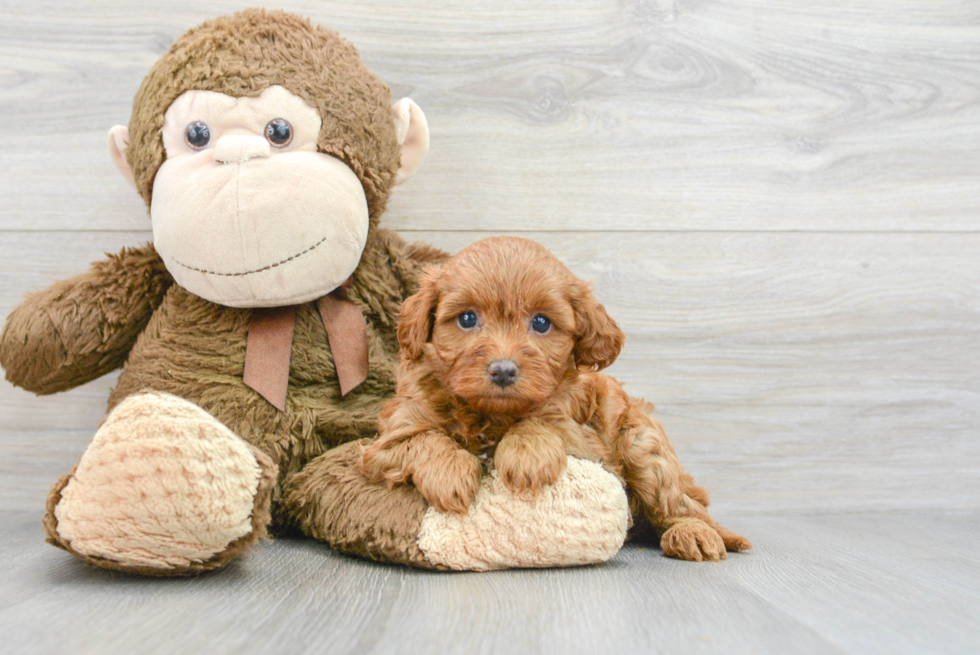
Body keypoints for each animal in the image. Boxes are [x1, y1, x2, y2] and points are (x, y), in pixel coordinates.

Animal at [360, 238, 752, 560]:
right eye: (467, 318)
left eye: (541, 323)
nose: (503, 370)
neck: (490, 414)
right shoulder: (388, 438)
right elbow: (424, 438)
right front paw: (450, 474)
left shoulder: (586, 440)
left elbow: (543, 422)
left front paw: (526, 455)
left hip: (643, 447)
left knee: (681, 503)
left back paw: (693, 533)